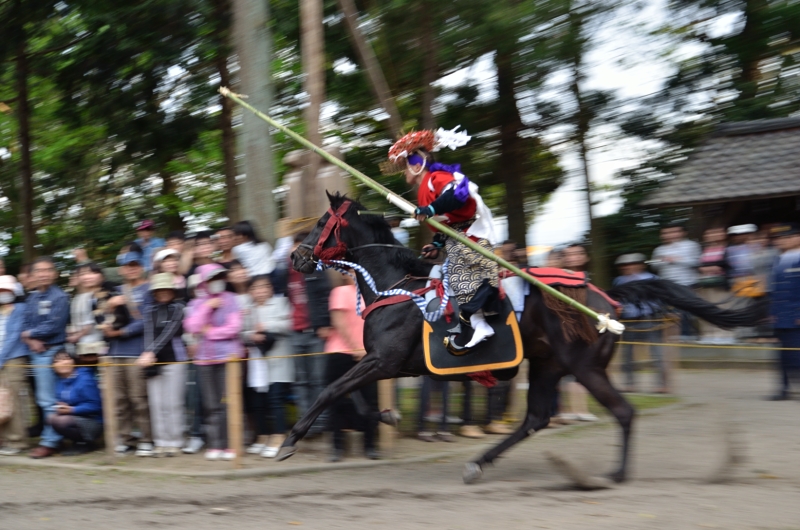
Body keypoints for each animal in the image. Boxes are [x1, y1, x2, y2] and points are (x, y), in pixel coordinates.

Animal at [284, 194, 764, 482]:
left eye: (323, 222)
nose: (295, 256)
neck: (396, 287)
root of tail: (608, 303)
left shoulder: (384, 360)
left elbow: (330, 389)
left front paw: (290, 440)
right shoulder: (383, 363)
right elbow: (348, 392)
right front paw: (383, 417)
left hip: (584, 366)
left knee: (623, 412)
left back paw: (615, 473)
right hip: (548, 364)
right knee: (535, 418)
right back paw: (478, 463)